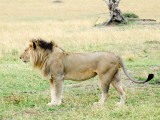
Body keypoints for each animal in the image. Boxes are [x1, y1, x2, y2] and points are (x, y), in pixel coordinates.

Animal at [20, 38, 154, 106]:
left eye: (26, 50)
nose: (20, 57)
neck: (46, 57)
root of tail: (116, 54)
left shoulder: (58, 77)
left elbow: (57, 93)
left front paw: (56, 104)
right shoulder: (52, 79)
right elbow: (53, 93)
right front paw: (51, 103)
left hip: (104, 76)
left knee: (106, 93)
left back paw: (99, 104)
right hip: (115, 77)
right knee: (123, 90)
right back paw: (120, 104)